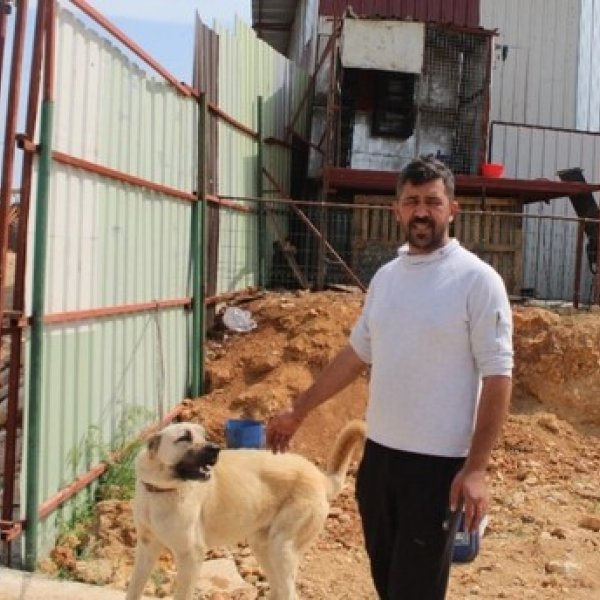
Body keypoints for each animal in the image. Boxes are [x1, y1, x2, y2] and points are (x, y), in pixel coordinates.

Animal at [125, 419, 366, 600]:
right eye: (184, 437)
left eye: (205, 436)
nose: (215, 449)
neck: (161, 490)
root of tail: (320, 477)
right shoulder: (146, 547)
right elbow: (133, 588)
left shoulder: (190, 555)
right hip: (262, 545)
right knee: (278, 589)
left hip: (282, 547)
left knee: (290, 593)